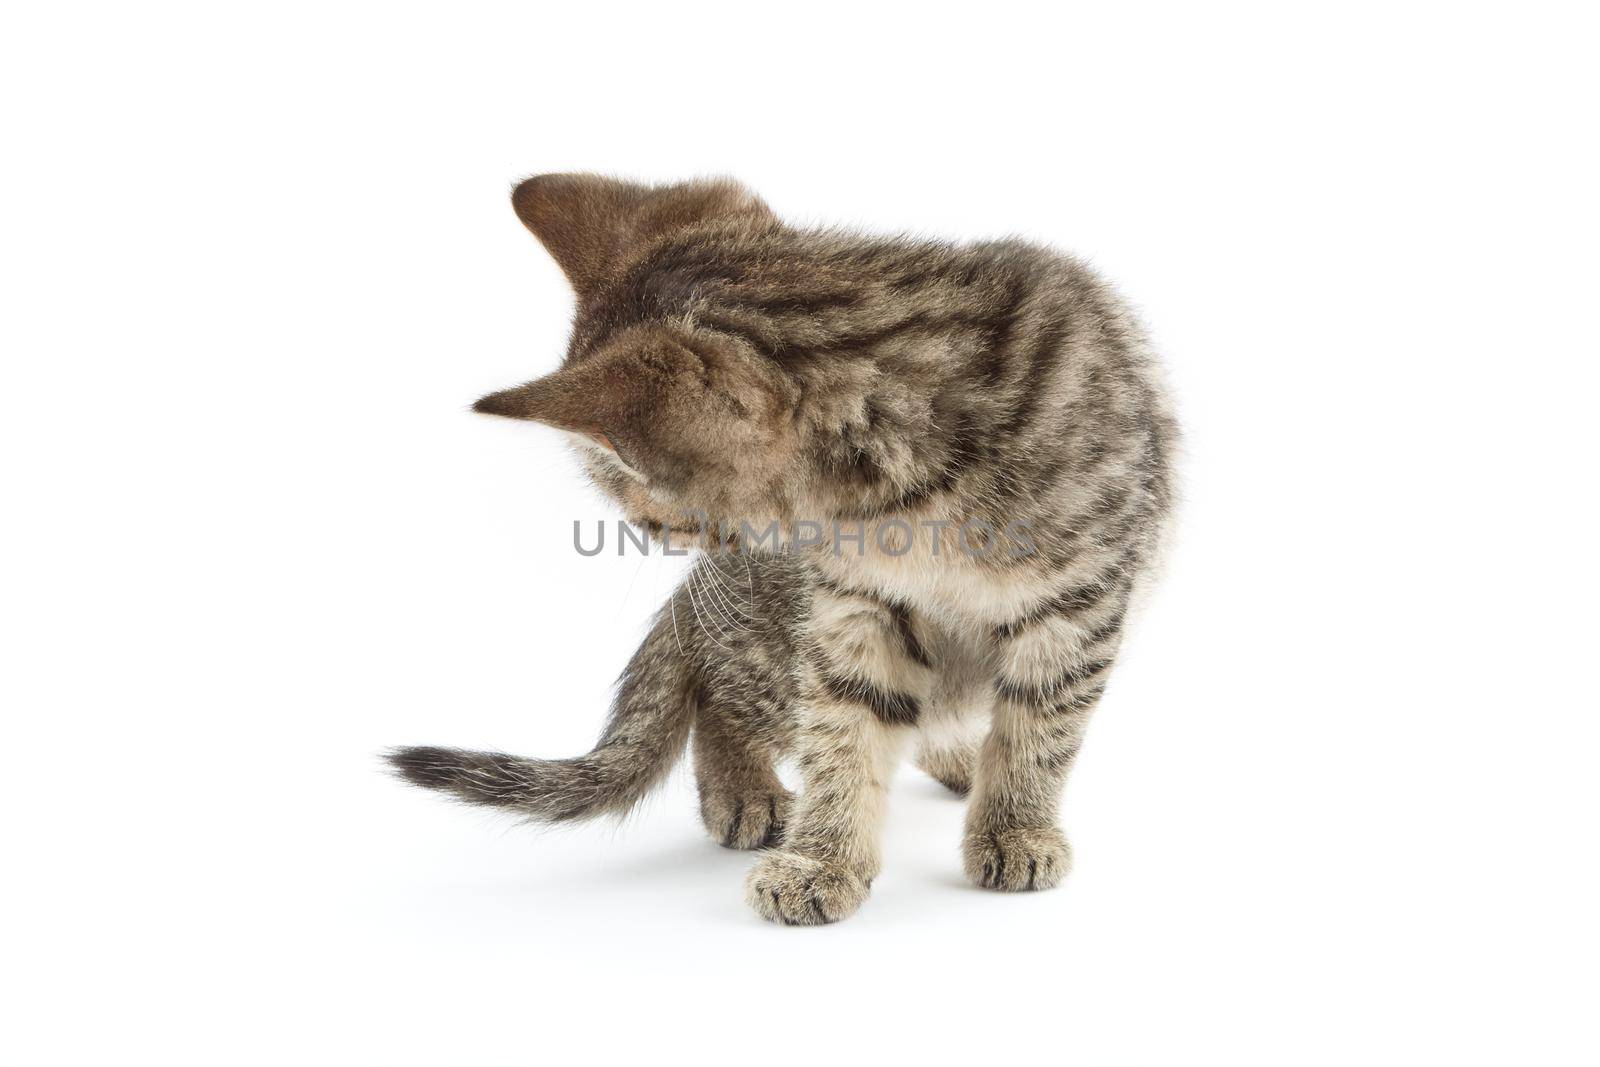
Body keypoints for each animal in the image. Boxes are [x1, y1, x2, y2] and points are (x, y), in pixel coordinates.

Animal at [390, 175, 1177, 927]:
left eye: (644, 511)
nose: (650, 536)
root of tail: (695, 596)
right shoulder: (854, 611)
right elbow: (843, 734)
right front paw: (823, 859)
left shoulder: (1081, 604)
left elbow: (1039, 731)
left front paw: (1015, 828)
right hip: (769, 643)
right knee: (720, 687)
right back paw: (745, 788)